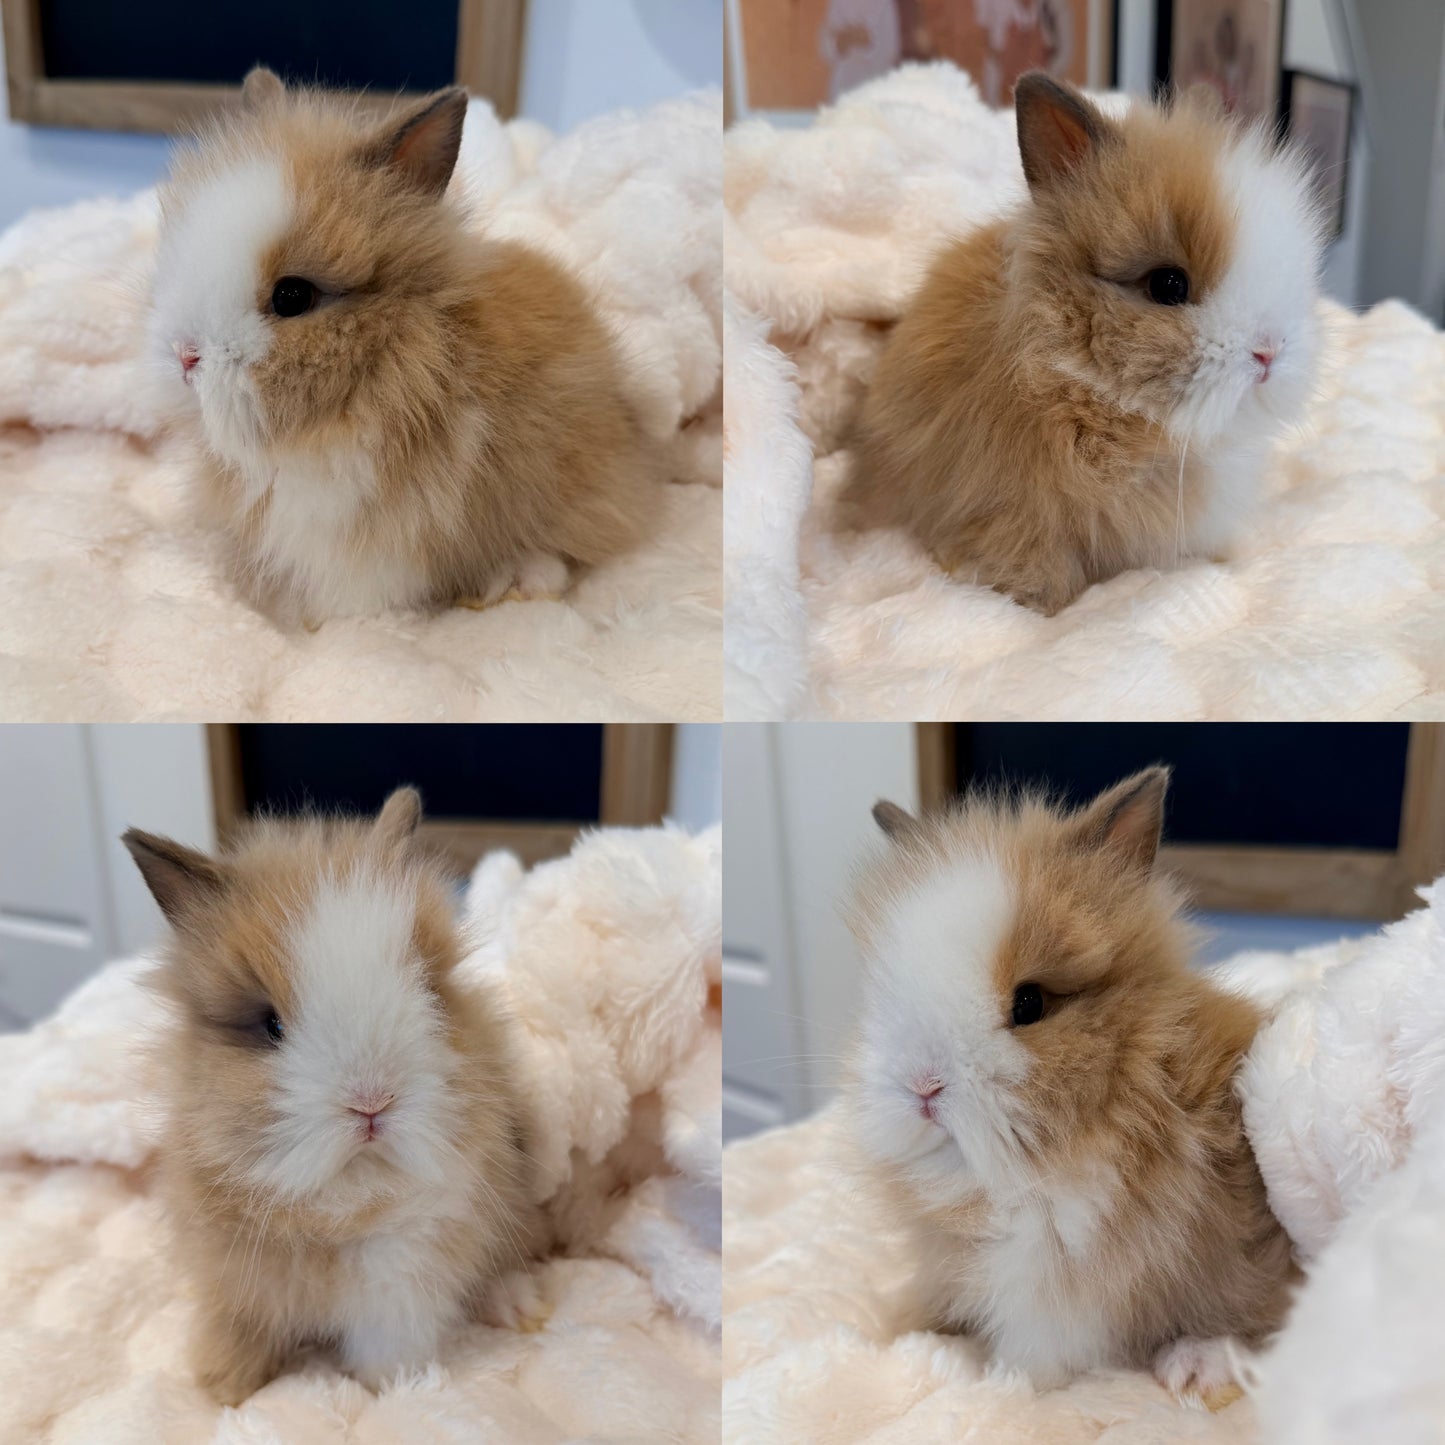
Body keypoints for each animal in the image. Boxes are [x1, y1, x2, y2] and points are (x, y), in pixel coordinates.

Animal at [122, 787, 539, 1405]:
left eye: (428, 992)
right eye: (271, 1025)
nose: (372, 1102)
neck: (346, 1202)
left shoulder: (401, 1280)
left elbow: (388, 1344)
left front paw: (392, 1392)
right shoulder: (233, 1278)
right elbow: (238, 1329)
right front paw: (222, 1389)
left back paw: (517, 1304)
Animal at [838, 73, 1324, 615]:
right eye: (1168, 286)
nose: (1270, 352)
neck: (1075, 382)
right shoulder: (1012, 514)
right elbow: (1035, 569)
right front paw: (1048, 610)